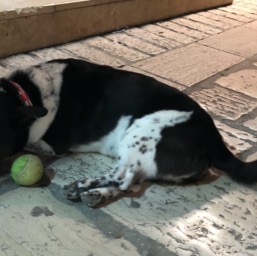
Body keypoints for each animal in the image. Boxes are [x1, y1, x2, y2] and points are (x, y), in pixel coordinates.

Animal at [0, 58, 256, 206]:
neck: (28, 92)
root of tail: (215, 138)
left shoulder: (53, 145)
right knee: (132, 183)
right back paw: (97, 194)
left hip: (139, 134)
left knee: (122, 178)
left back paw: (82, 186)